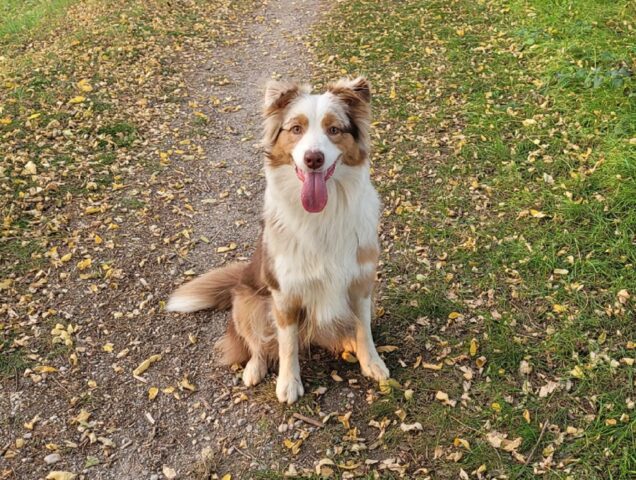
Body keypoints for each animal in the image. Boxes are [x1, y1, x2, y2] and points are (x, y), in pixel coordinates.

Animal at [166, 78, 390, 402]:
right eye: (296, 128)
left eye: (334, 129)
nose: (313, 159)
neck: (323, 215)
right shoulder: (284, 294)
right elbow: (287, 345)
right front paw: (288, 383)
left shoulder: (361, 281)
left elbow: (364, 328)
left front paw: (371, 361)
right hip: (248, 304)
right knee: (256, 343)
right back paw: (254, 368)